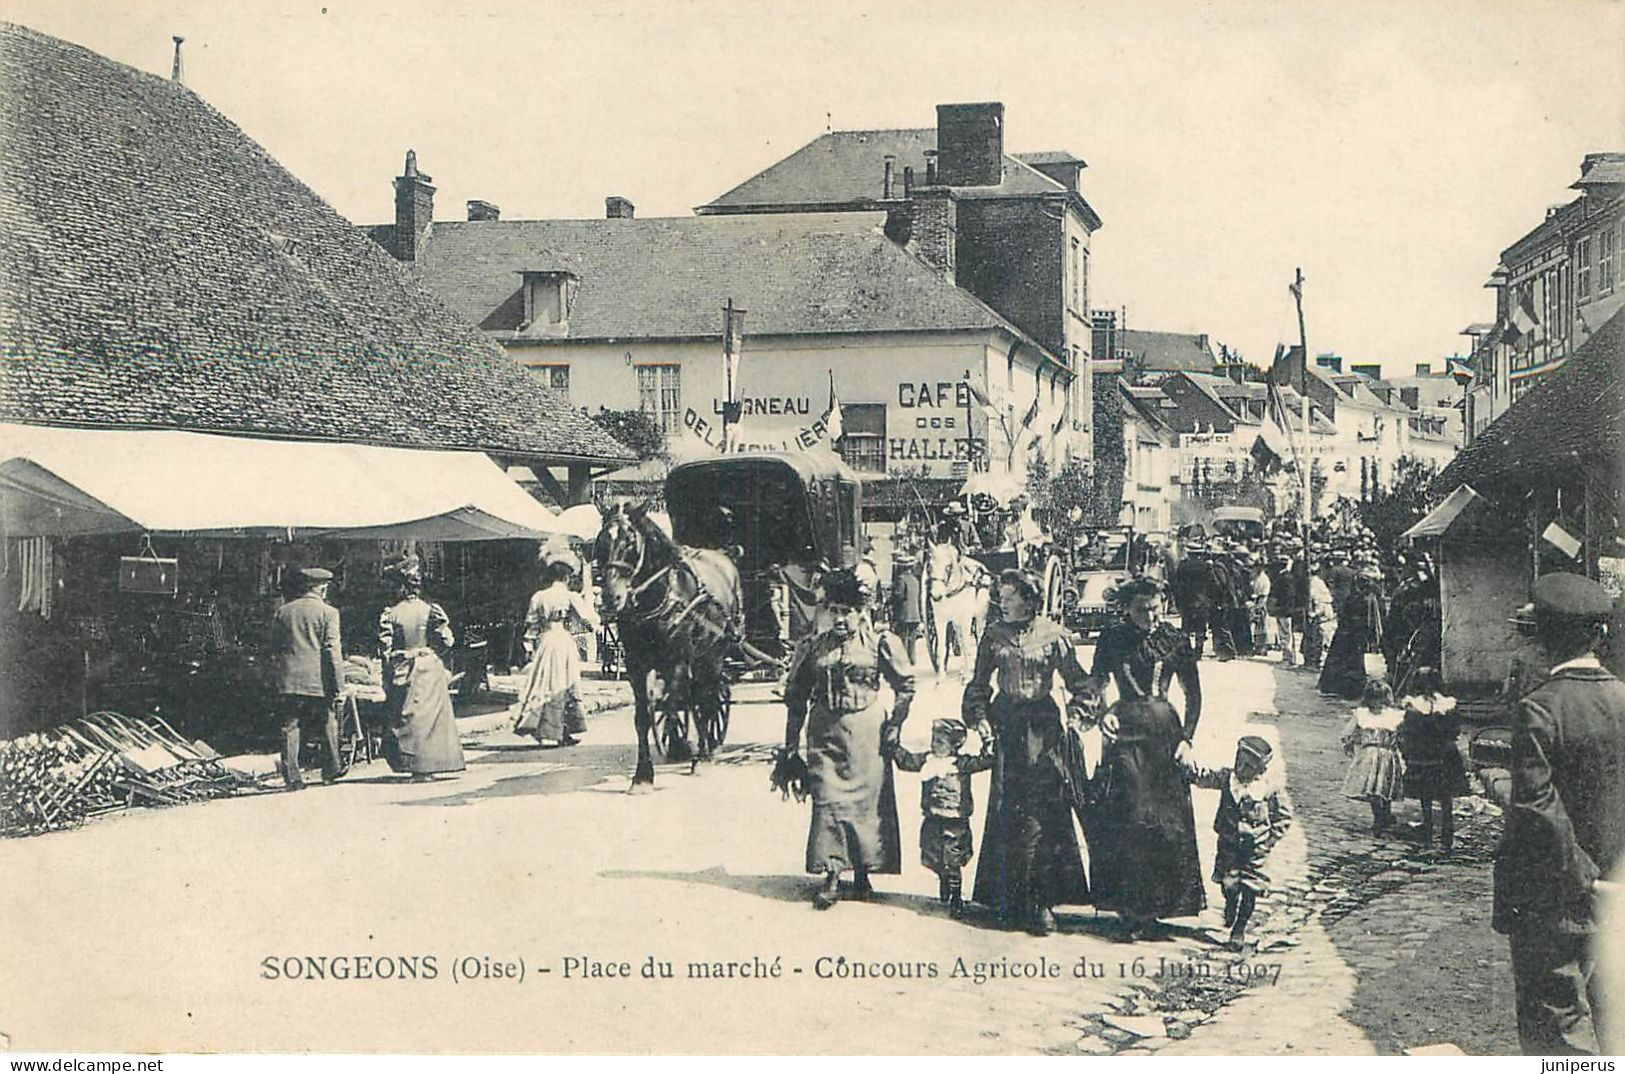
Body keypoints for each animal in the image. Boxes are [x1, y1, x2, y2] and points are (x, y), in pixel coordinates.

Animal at [598, 500, 744, 786]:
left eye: (630, 542)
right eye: (600, 542)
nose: (611, 597)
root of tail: (724, 555)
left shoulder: (677, 659)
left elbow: (674, 701)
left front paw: (681, 746)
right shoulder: (636, 664)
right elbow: (645, 716)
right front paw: (643, 775)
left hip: (714, 653)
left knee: (706, 698)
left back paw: (705, 751)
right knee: (696, 696)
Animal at [929, 539, 988, 675]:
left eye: (948, 566)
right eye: (930, 566)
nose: (936, 596)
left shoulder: (966, 618)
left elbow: (966, 644)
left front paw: (966, 674)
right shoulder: (939, 619)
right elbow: (942, 647)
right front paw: (941, 677)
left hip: (980, 616)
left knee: (979, 635)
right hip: (956, 622)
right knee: (960, 640)